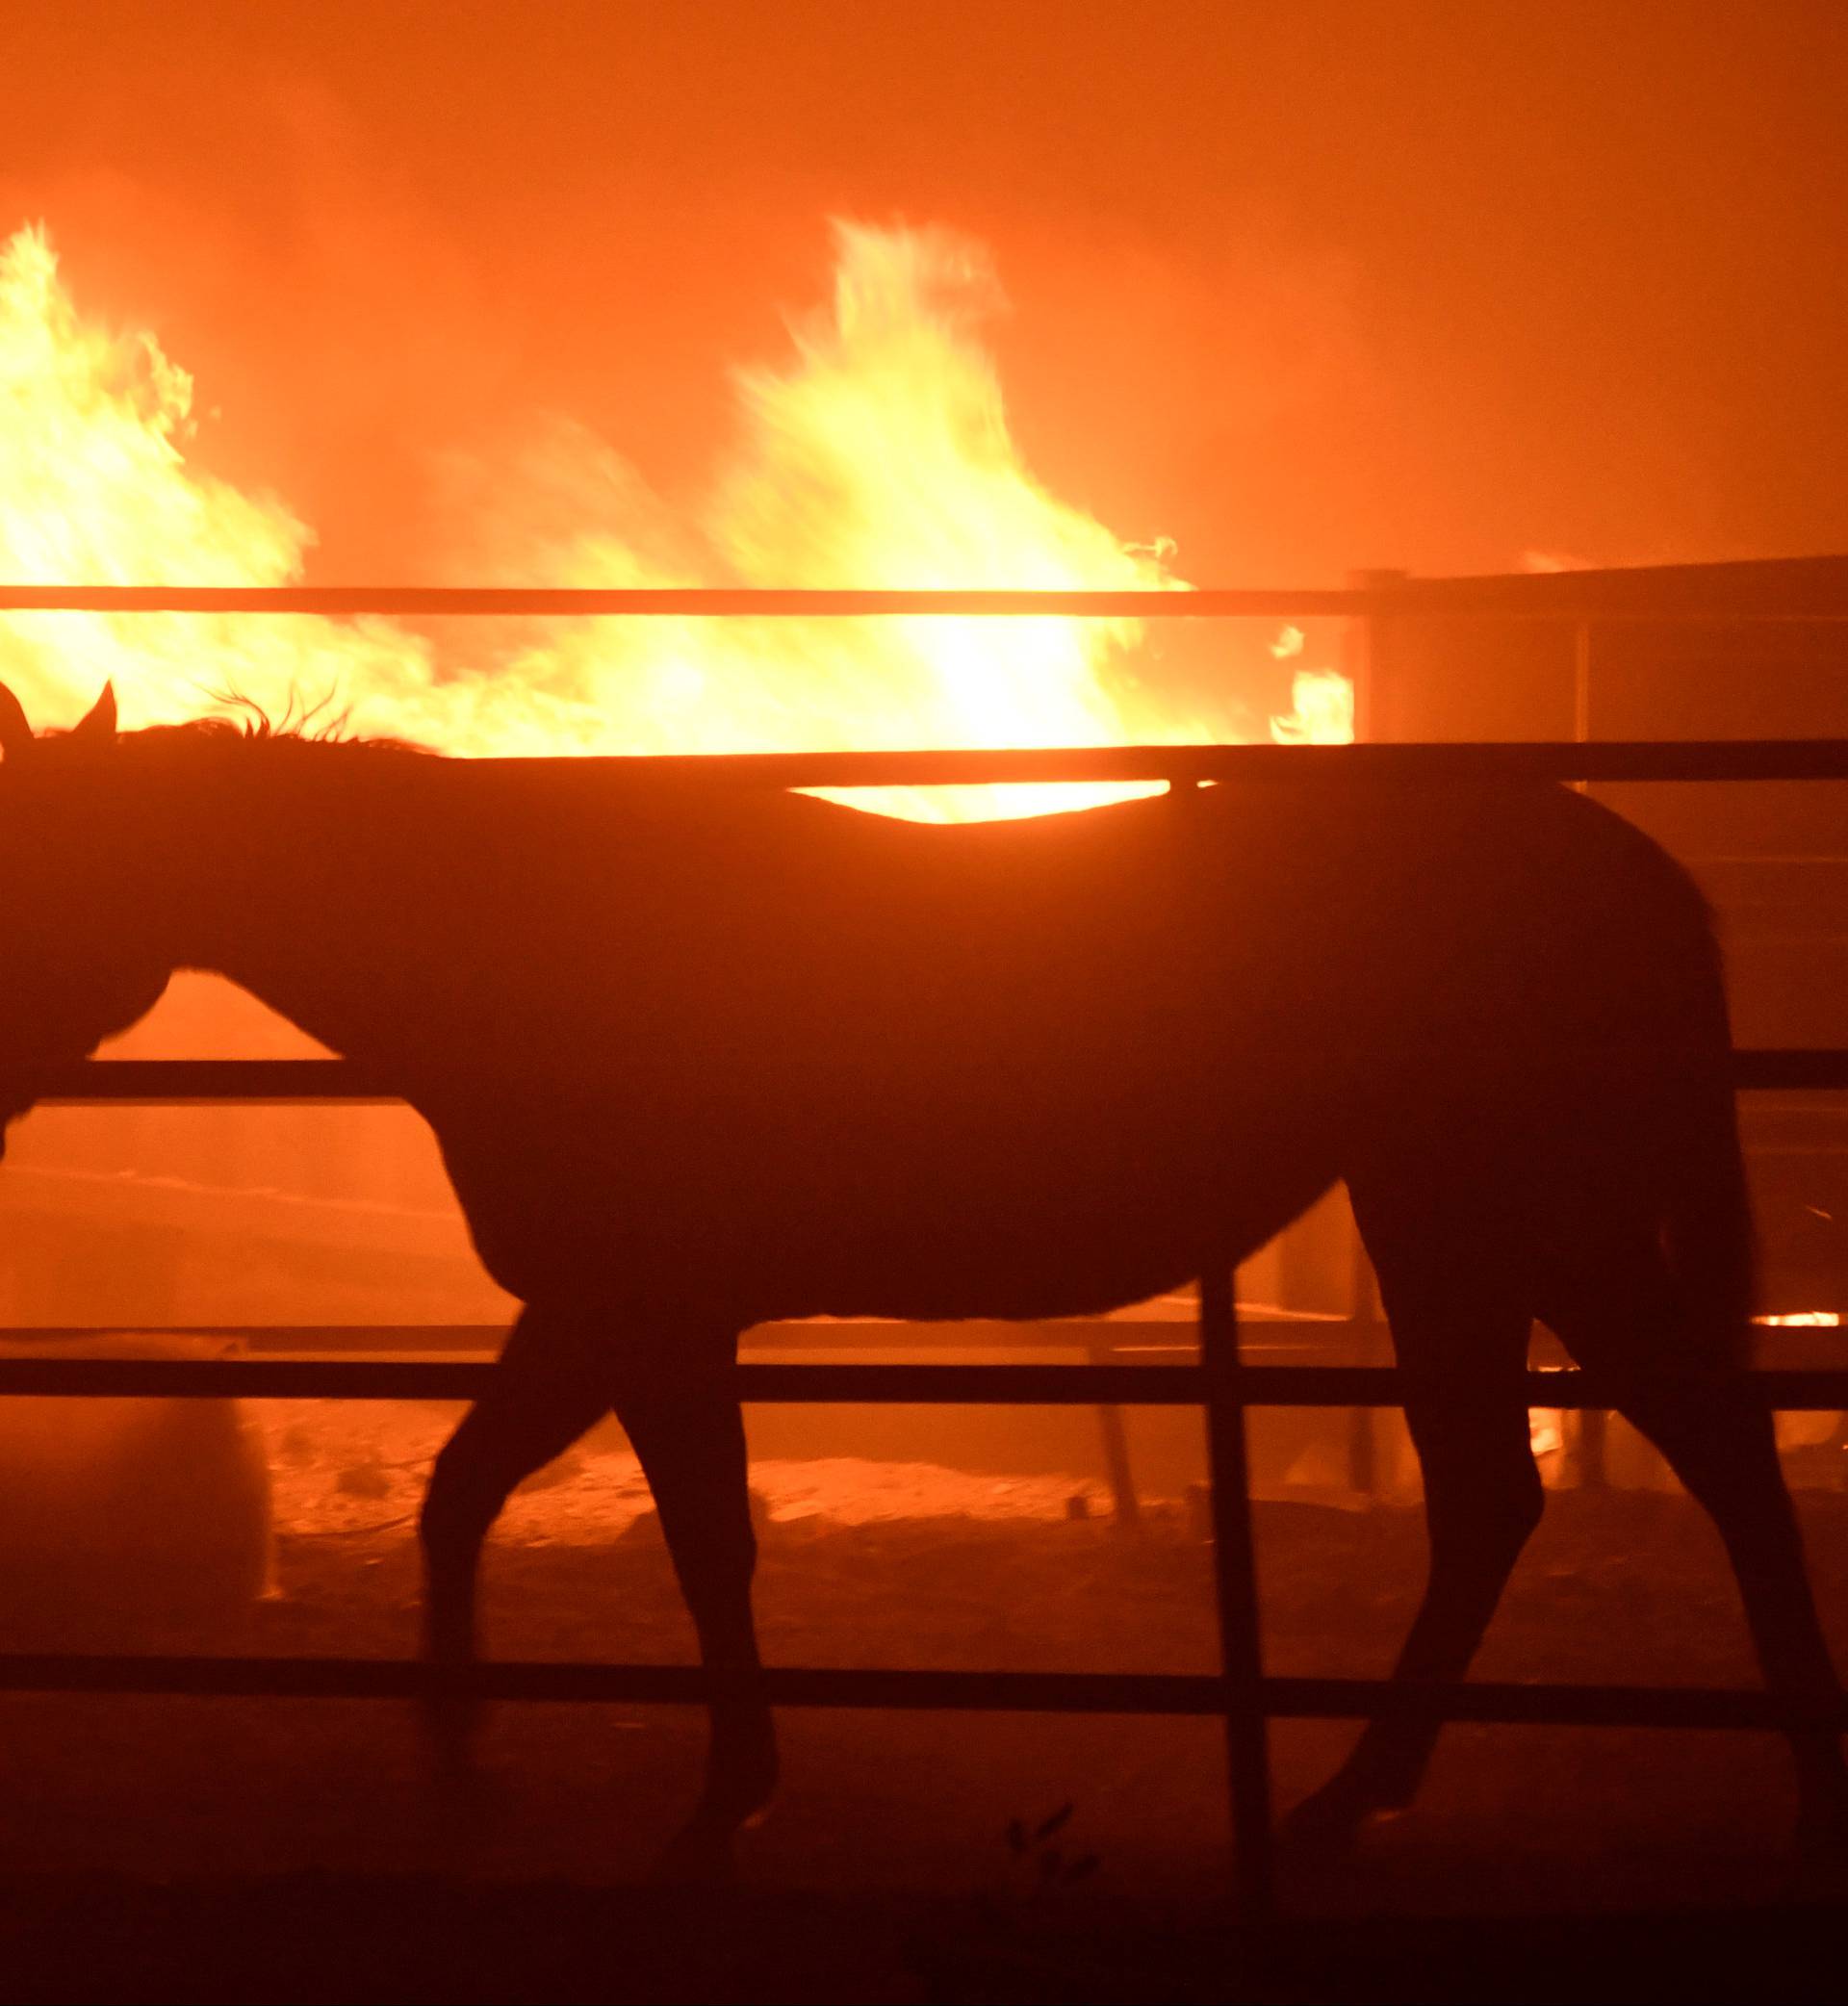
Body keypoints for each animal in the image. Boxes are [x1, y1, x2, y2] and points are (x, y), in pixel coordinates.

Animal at [3, 678, 1845, 1861]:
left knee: (1627, 1469)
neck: (532, 939)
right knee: (1578, 1478)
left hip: (1497, 1212)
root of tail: (1620, 857)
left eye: (46, 864)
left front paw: (708, 1788)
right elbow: (475, 1495)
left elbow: (696, 1541)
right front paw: (473, 1759)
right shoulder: (603, 1309)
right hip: (1492, 1222)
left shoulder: (645, 1308)